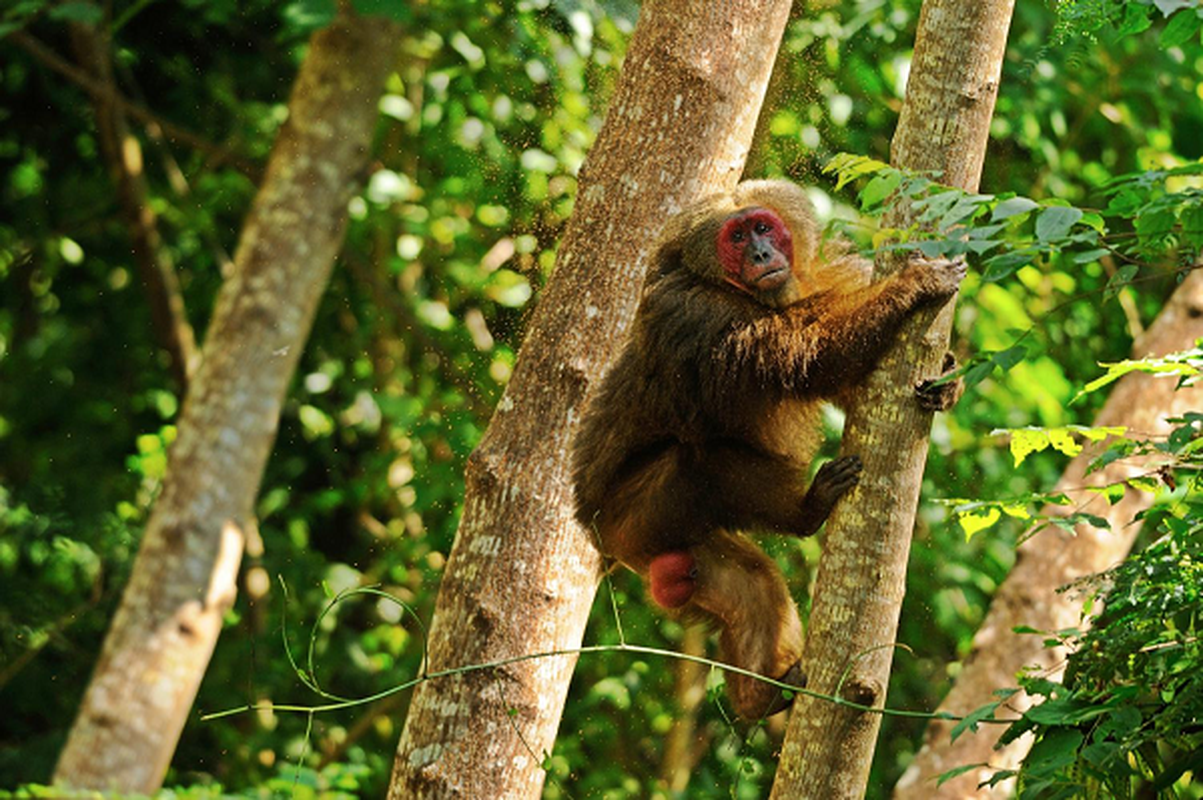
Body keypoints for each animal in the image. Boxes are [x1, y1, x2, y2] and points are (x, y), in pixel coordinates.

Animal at [567, 180, 962, 716]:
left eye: (762, 227)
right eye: (737, 238)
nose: (760, 253)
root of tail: (601, 535)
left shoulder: (823, 275)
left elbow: (845, 378)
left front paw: (947, 381)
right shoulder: (693, 313)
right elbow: (806, 357)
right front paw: (911, 287)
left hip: (669, 542)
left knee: (751, 585)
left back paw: (761, 697)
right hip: (630, 516)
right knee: (702, 460)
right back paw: (805, 512)